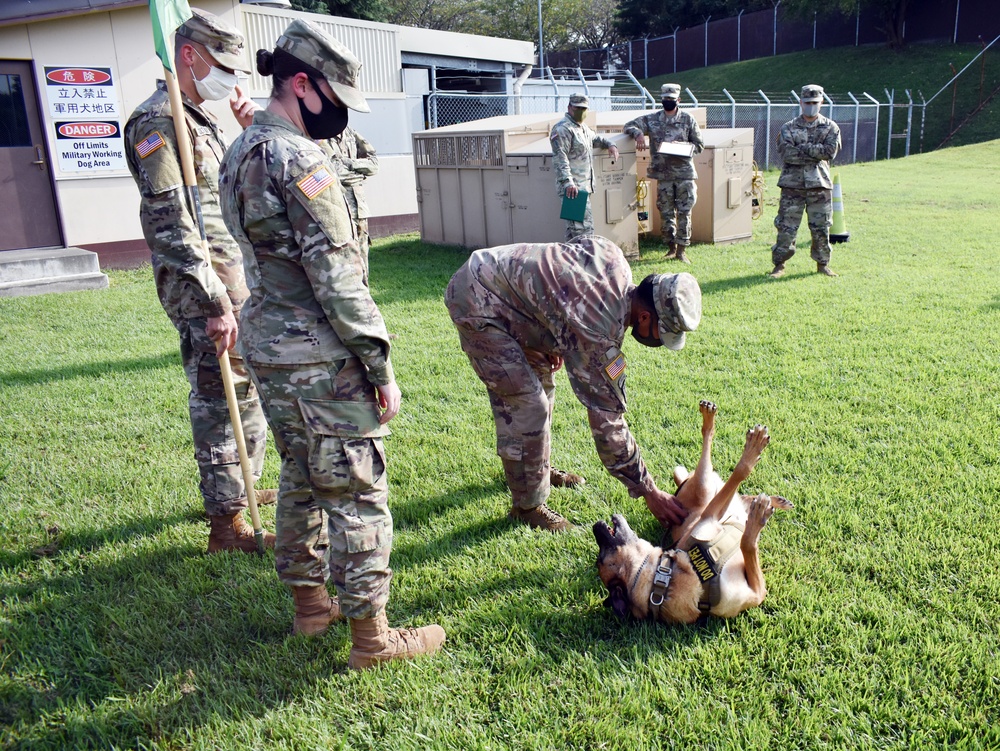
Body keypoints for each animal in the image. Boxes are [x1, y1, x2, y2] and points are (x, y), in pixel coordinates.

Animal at [588, 402, 792, 624]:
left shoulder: (709, 520)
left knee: (737, 494)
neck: (663, 581)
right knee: (728, 475)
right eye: (601, 557)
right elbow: (747, 541)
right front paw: (758, 517)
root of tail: (683, 485)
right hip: (705, 488)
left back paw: (777, 500)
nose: (596, 525)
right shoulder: (757, 591)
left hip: (711, 497)